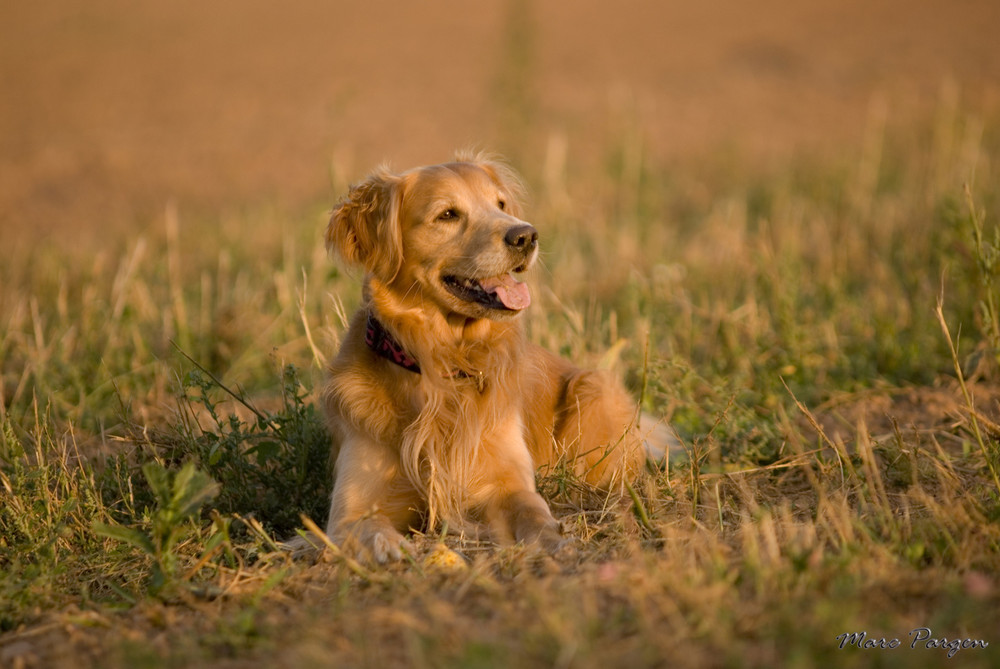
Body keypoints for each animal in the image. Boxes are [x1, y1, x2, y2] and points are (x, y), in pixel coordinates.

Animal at [320, 153, 664, 564]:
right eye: (448, 214)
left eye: (500, 204)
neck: (441, 363)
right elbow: (368, 529)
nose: (526, 236)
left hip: (593, 393)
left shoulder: (508, 483)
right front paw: (390, 548)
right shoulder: (348, 512)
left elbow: (532, 511)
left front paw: (552, 541)